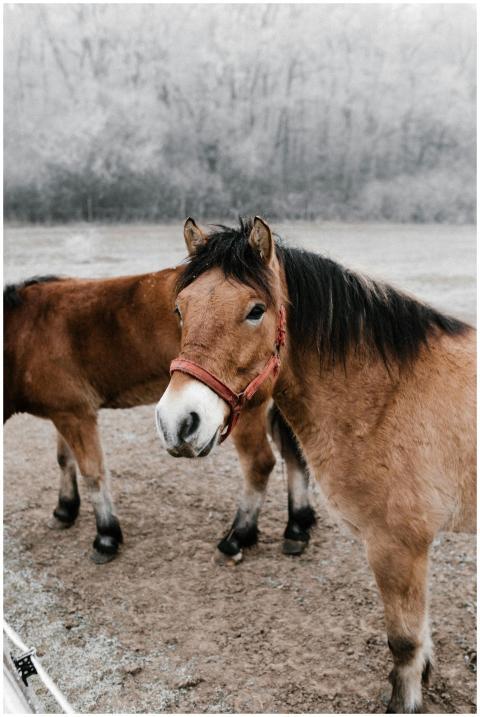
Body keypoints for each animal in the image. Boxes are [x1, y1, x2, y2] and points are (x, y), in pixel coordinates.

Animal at [4, 266, 315, 564]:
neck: (25, 335)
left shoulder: (76, 415)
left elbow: (93, 473)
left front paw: (106, 537)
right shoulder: (64, 412)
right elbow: (64, 459)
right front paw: (65, 510)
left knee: (259, 464)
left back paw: (237, 538)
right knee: (294, 453)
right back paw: (297, 527)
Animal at [155, 216, 476, 713]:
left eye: (255, 311)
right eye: (179, 308)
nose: (178, 422)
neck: (388, 398)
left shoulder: (397, 547)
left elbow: (403, 639)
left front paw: (404, 700)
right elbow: (419, 634)